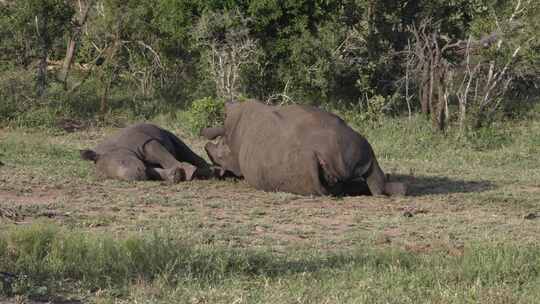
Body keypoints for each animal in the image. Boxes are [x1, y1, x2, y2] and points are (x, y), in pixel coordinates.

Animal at [81, 123, 214, 183]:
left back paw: (207, 170)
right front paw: (175, 176)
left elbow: (161, 155)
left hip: (162, 130)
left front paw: (189, 173)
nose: (136, 177)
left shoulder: (144, 142)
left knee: (181, 147)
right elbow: (154, 170)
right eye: (116, 178)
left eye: (122, 162)